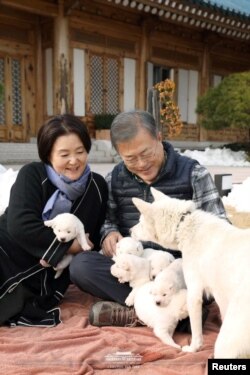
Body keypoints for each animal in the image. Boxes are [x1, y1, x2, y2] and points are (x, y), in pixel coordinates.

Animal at [131, 187, 250, 358]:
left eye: (140, 222)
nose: (129, 230)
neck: (183, 224)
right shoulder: (220, 297)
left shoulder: (194, 294)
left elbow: (196, 331)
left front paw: (194, 348)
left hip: (227, 341)